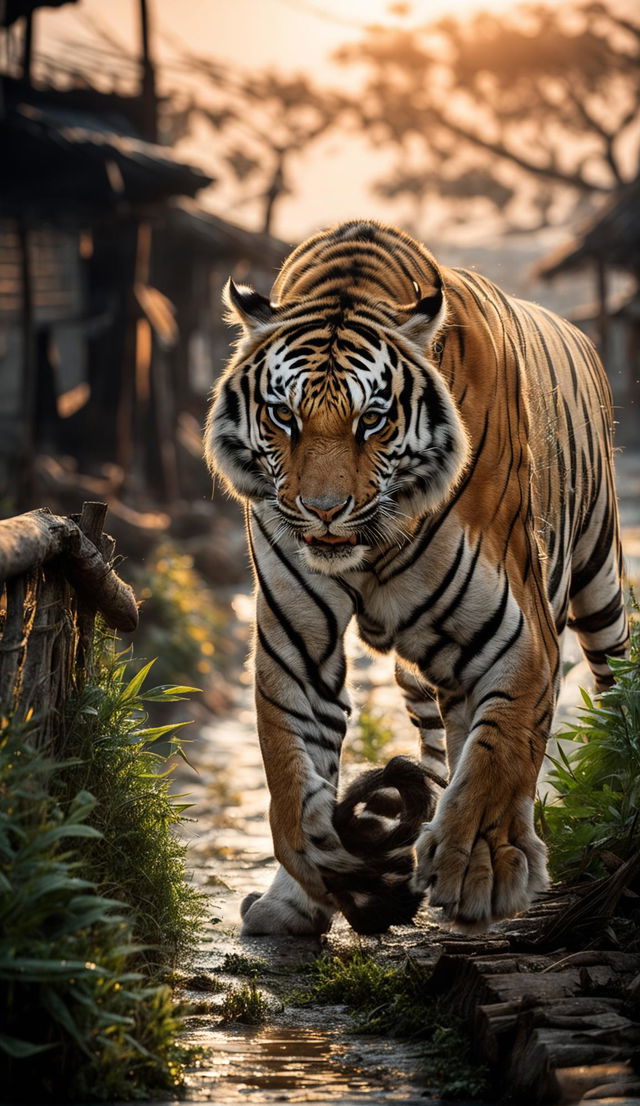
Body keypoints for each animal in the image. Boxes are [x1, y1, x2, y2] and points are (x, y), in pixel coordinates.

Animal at [206, 217, 632, 933]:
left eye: (371, 420)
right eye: (284, 416)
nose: (323, 509)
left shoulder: (519, 634)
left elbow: (499, 753)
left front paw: (478, 867)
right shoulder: (296, 639)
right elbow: (290, 775)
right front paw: (326, 876)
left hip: (600, 586)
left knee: (616, 689)